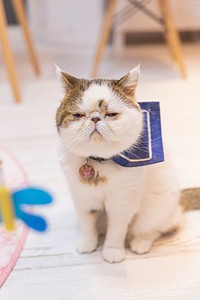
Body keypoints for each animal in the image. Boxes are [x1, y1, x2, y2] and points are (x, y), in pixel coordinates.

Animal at [55, 65, 199, 262]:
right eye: (78, 115)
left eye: (111, 114)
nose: (95, 118)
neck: (99, 164)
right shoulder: (82, 197)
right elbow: (86, 224)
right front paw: (87, 243)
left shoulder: (122, 202)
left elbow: (116, 230)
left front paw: (112, 251)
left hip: (156, 210)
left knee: (156, 228)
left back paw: (140, 242)